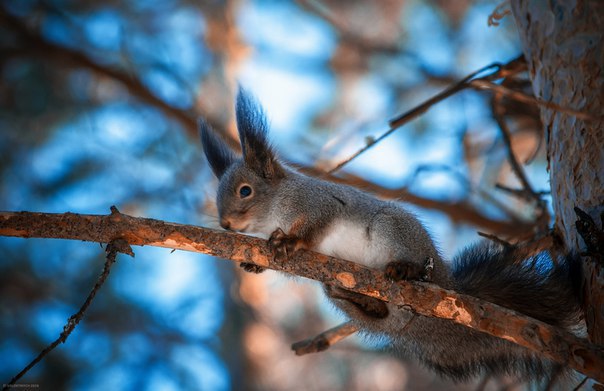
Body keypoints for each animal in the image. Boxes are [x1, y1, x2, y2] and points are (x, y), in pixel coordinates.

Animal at [201, 88, 584, 382]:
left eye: (245, 191)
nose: (226, 224)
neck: (275, 208)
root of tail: (445, 284)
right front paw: (256, 264)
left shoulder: (318, 203)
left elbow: (314, 228)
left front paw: (291, 241)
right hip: (342, 292)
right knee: (371, 311)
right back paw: (360, 298)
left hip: (393, 232)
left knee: (409, 272)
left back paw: (406, 270)